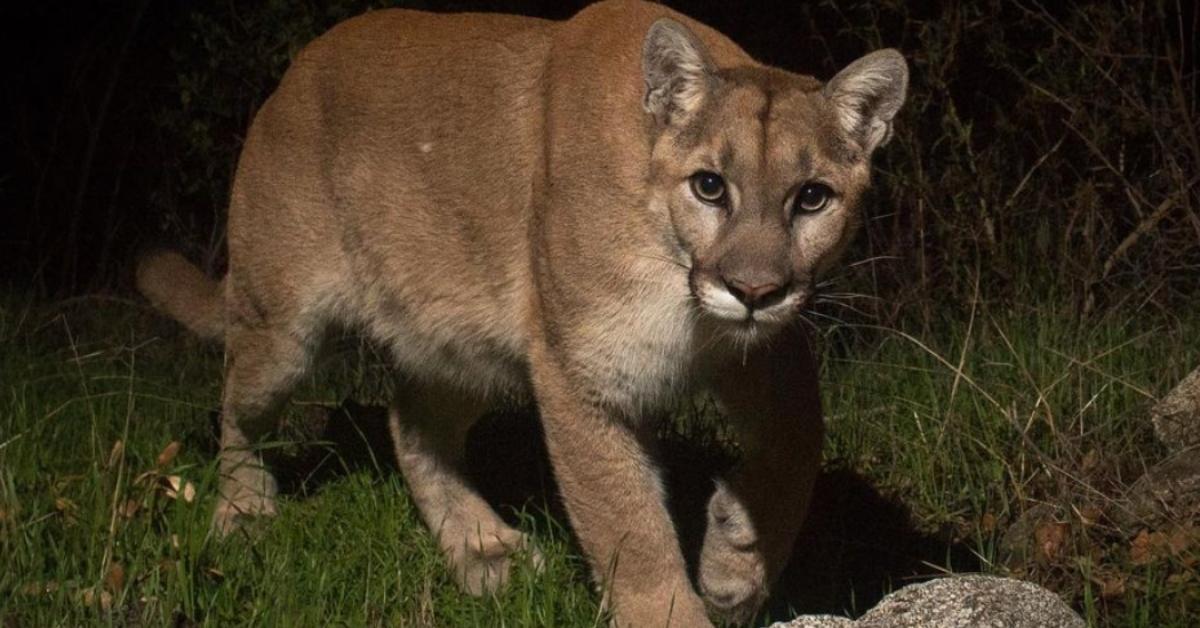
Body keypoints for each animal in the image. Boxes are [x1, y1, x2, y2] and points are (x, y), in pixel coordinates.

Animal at [136, 2, 902, 624]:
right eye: (710, 186)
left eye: (812, 197)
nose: (753, 290)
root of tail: (287, 80)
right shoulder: (579, 375)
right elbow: (629, 527)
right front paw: (685, 597)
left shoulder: (765, 344)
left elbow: (801, 439)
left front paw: (737, 561)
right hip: (283, 326)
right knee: (236, 405)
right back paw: (244, 513)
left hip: (462, 345)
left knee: (410, 423)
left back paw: (484, 551)